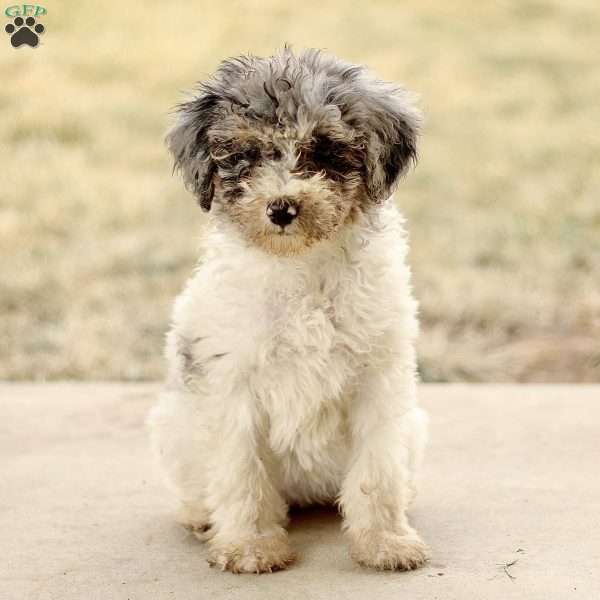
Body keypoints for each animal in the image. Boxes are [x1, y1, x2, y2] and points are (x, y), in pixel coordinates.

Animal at [150, 49, 432, 576]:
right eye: (245, 154)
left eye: (322, 150)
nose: (281, 208)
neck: (300, 263)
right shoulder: (232, 381)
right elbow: (241, 472)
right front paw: (250, 546)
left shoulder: (379, 378)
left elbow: (377, 472)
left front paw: (385, 541)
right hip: (173, 423)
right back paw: (201, 517)